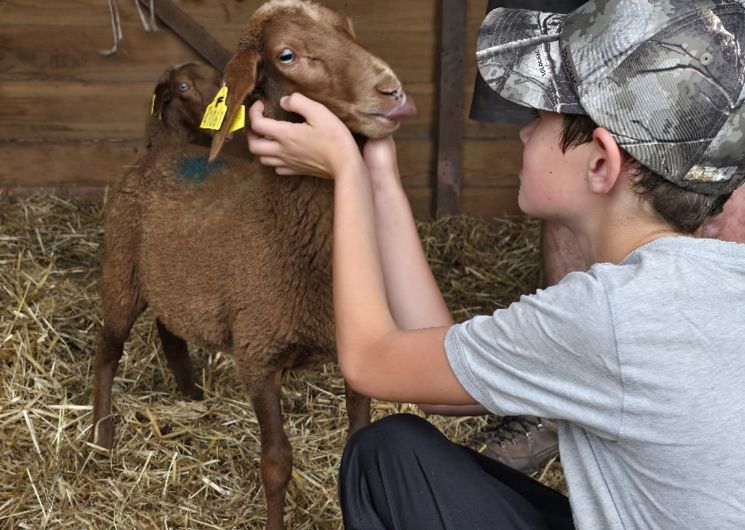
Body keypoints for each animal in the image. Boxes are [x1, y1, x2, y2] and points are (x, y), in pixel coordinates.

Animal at [90, 2, 416, 524]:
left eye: (349, 28)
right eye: (286, 55)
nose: (391, 91)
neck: (285, 233)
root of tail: (162, 147)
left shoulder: (356, 354)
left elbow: (357, 443)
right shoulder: (258, 357)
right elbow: (276, 464)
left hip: (172, 282)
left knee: (170, 331)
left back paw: (191, 396)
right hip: (121, 271)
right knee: (107, 349)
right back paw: (102, 439)